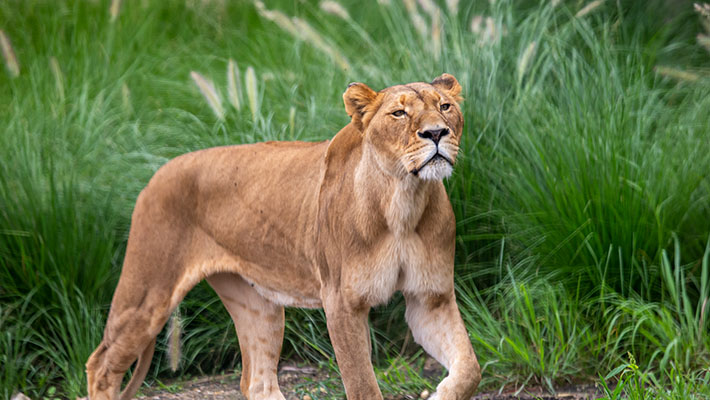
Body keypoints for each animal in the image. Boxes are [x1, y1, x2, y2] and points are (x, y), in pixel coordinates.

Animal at [85, 73, 481, 400]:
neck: (403, 200)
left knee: (257, 382)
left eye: (445, 107)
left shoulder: (430, 298)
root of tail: (157, 173)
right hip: (148, 294)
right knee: (100, 365)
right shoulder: (342, 303)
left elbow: (469, 369)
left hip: (257, 306)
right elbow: (363, 385)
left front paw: (440, 393)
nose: (436, 133)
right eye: (399, 113)